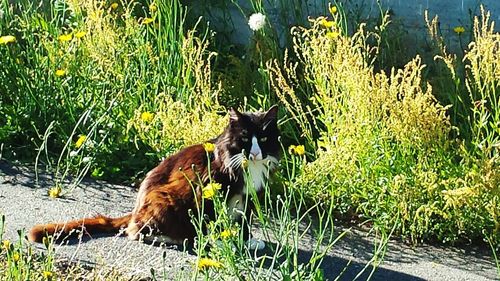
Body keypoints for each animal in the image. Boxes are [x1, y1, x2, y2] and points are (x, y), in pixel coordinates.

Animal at [28, 105, 282, 249]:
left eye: (264, 139)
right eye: (245, 138)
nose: (255, 152)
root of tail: (135, 210)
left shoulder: (248, 197)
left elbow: (245, 220)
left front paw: (247, 240)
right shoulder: (207, 191)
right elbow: (209, 222)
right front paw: (217, 241)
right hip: (164, 198)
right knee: (136, 232)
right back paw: (176, 238)